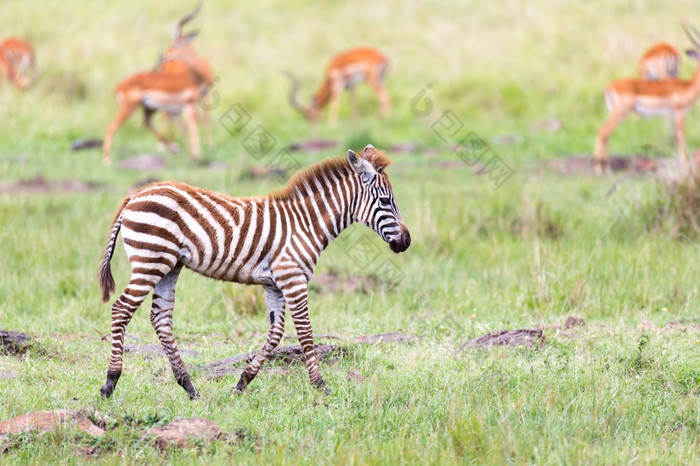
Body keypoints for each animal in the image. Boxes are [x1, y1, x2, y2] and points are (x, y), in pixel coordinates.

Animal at [95, 144, 408, 398]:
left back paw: (189, 387)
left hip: (169, 266)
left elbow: (276, 333)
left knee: (160, 318)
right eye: (385, 202)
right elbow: (305, 333)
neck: (306, 224)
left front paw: (242, 382)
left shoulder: (274, 284)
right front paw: (321, 386)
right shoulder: (293, 278)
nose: (406, 242)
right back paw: (111, 382)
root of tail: (135, 195)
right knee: (121, 309)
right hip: (150, 260)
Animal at [592, 24, 700, 173]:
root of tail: (609, 87)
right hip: (621, 113)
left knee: (605, 133)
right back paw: (600, 169)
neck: (687, 86)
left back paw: (606, 167)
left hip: (613, 112)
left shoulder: (673, 114)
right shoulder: (679, 112)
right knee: (602, 132)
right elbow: (681, 135)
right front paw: (684, 162)